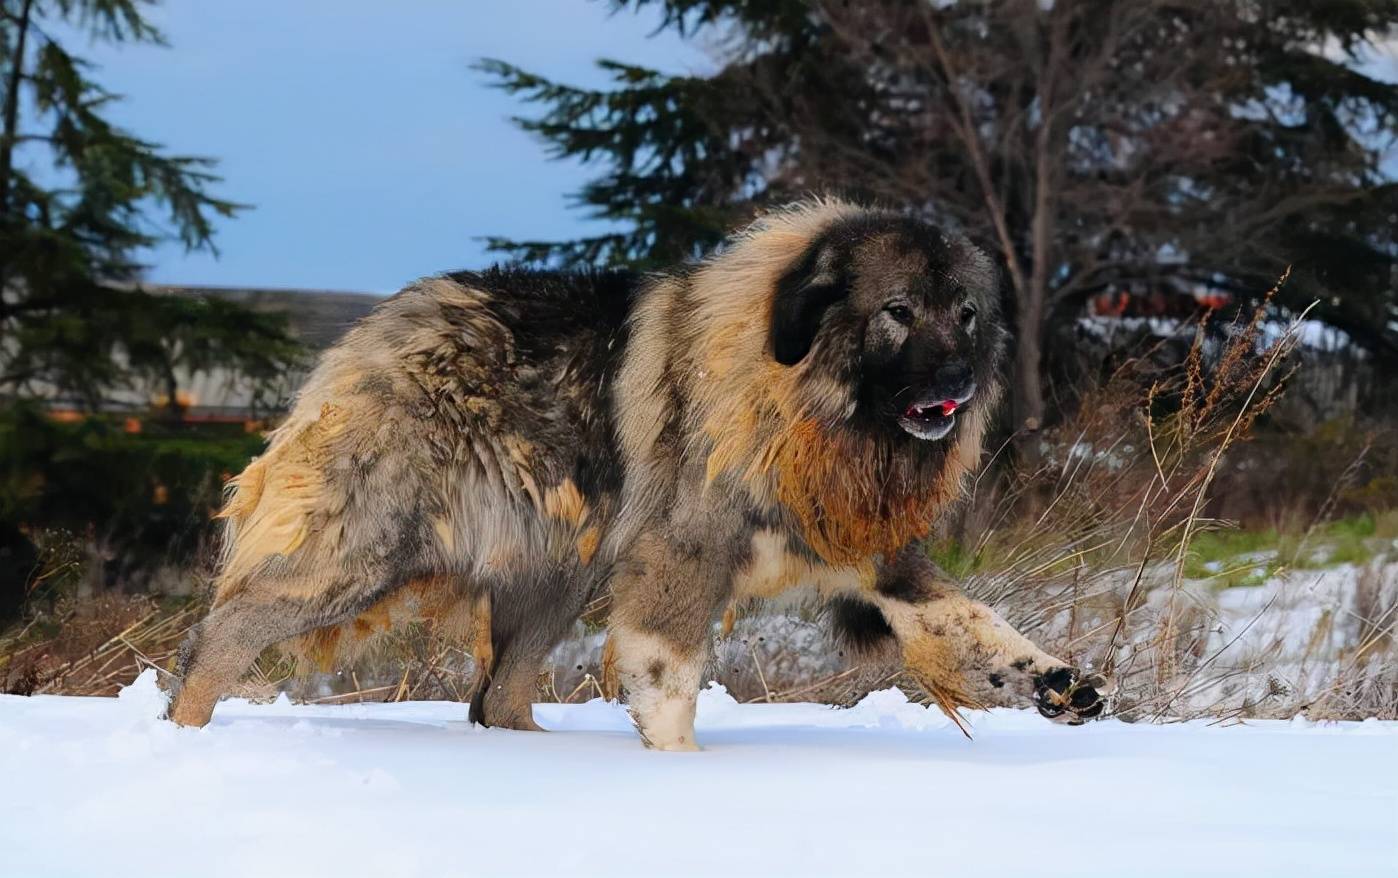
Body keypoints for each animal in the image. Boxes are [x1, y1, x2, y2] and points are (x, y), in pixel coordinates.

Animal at [169, 201, 1101, 749]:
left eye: (966, 313)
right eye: (898, 312)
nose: (960, 383)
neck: (797, 394)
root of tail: (375, 329)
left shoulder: (874, 555)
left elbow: (974, 627)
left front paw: (1057, 683)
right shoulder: (680, 561)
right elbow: (670, 681)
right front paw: (678, 772)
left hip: (556, 578)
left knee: (496, 697)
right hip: (360, 554)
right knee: (224, 632)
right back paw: (184, 737)